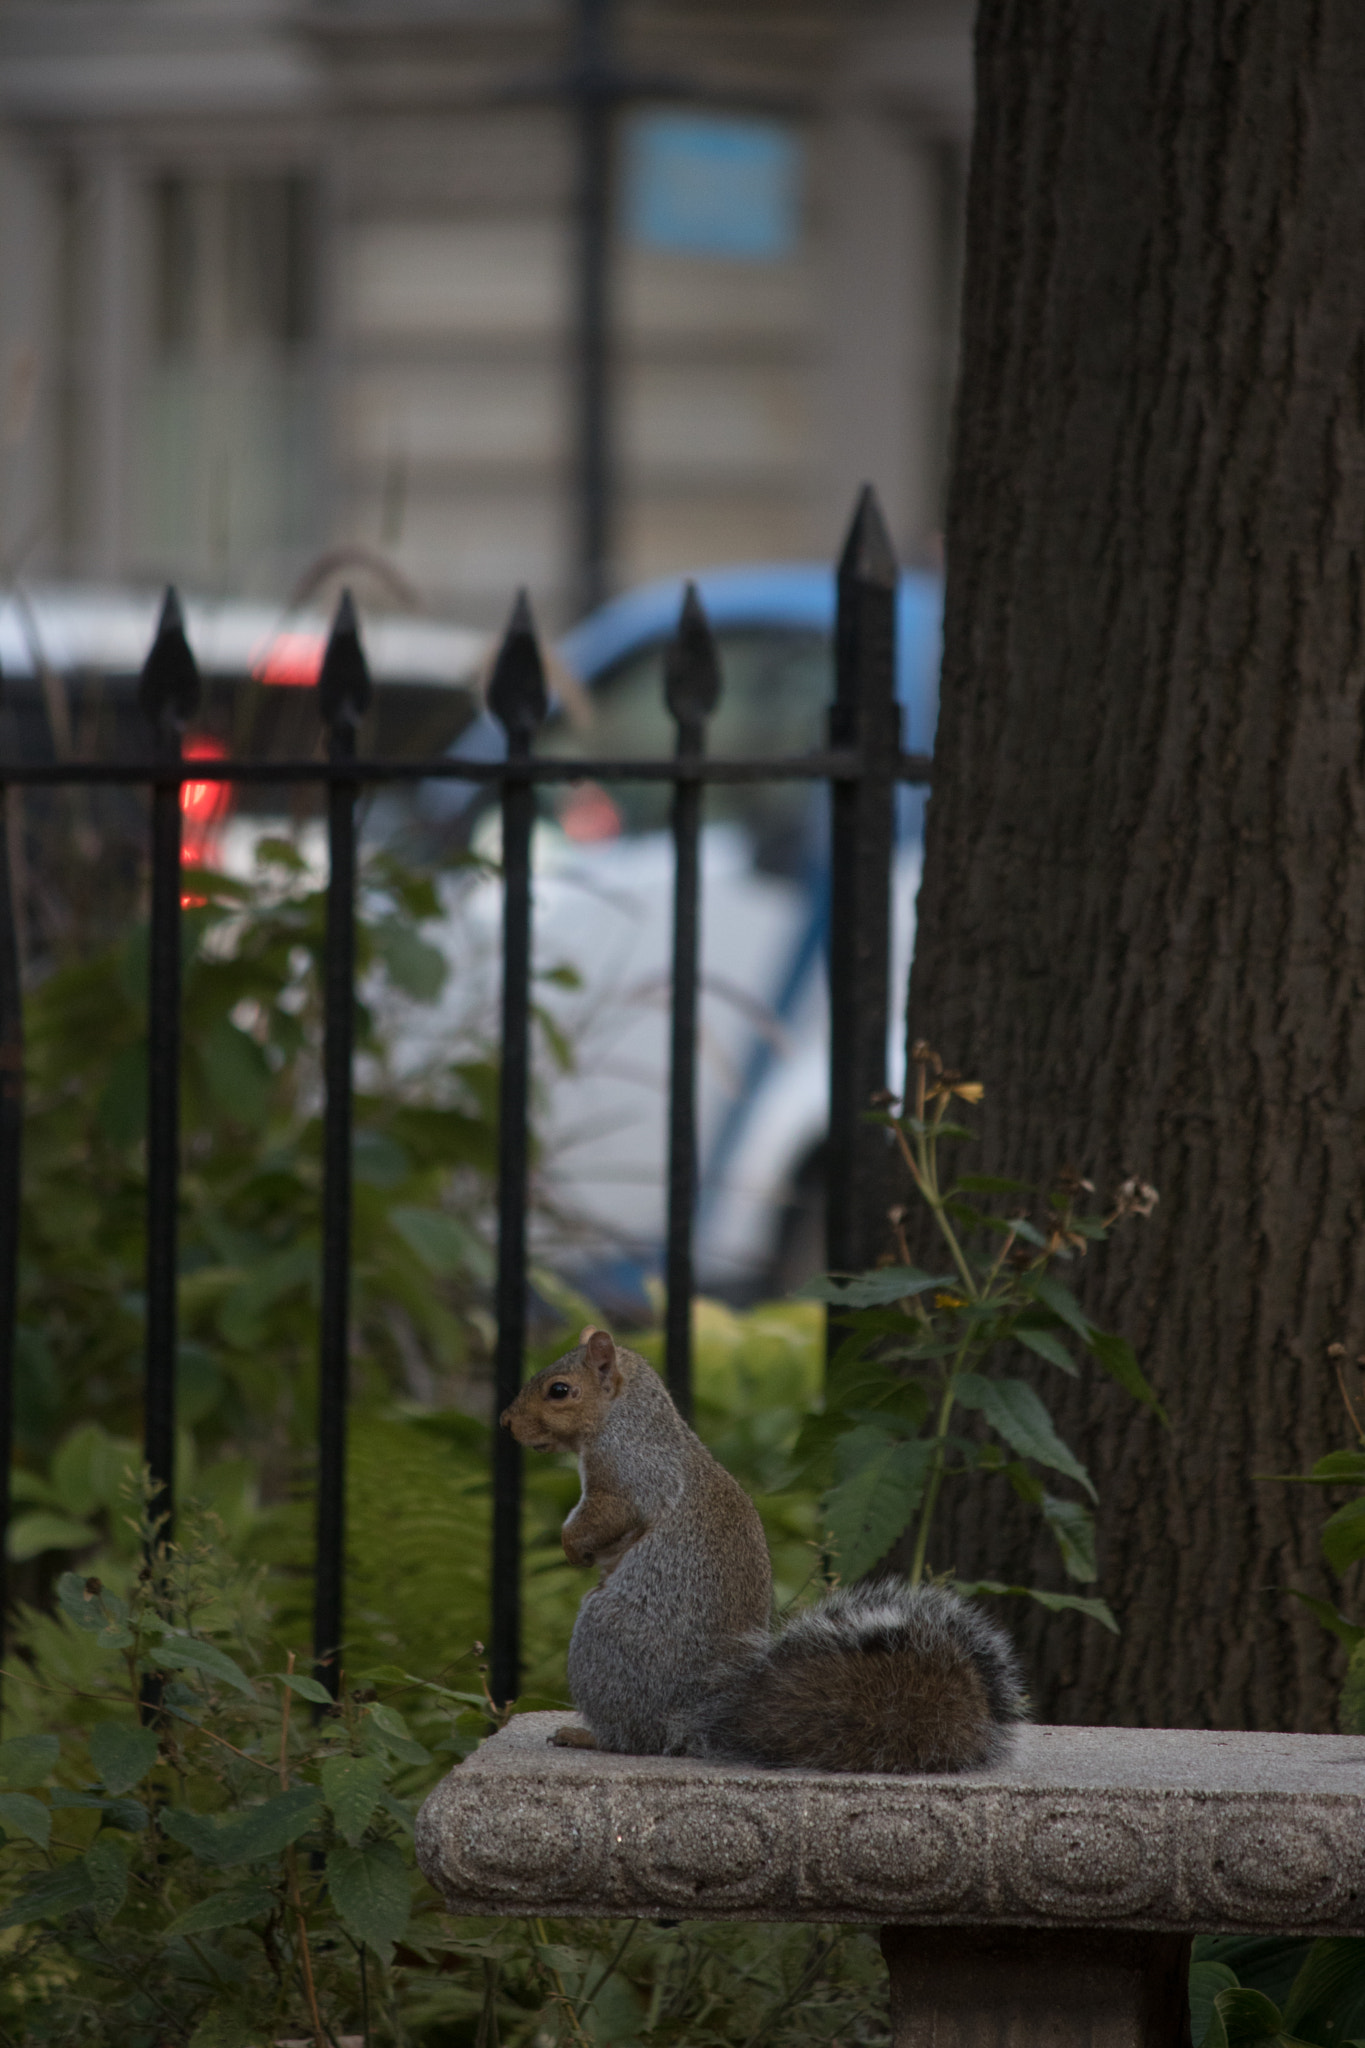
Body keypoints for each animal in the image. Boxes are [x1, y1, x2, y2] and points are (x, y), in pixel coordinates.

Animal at [501, 1326, 1026, 1772]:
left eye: (559, 1390)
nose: (506, 1422)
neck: (627, 1418)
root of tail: (688, 1720)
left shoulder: (630, 1477)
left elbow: (607, 1515)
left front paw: (573, 1547)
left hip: (603, 1639)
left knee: (634, 1740)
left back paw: (586, 1735)